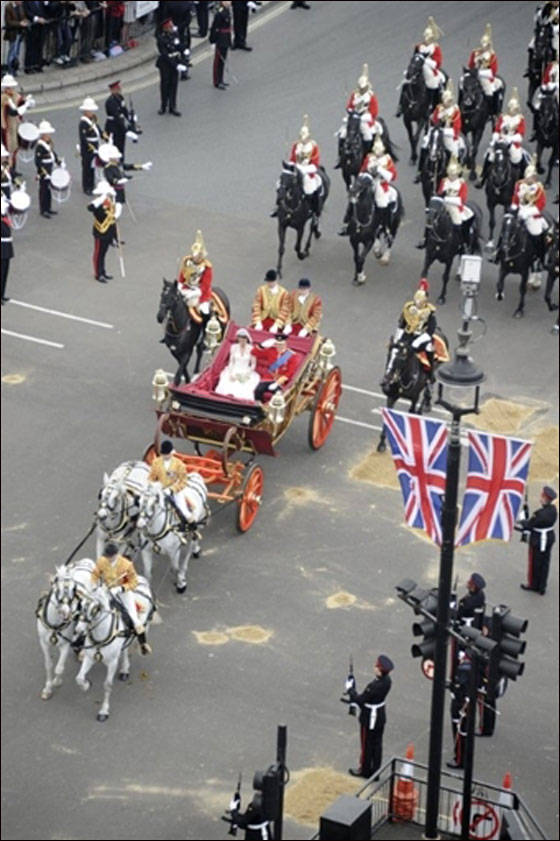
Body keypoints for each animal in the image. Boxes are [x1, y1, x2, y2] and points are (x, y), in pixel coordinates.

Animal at [35, 556, 94, 704]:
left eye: (74, 588)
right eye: (56, 588)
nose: (66, 613)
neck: (55, 626)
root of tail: (87, 561)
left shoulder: (65, 645)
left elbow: (59, 668)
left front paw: (56, 681)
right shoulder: (43, 643)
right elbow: (48, 665)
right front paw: (47, 688)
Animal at [73, 576, 155, 720]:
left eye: (95, 609)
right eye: (80, 605)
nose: (78, 630)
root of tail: (142, 579)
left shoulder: (111, 663)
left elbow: (107, 685)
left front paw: (104, 711)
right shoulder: (89, 658)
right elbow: (79, 677)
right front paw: (86, 685)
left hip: (145, 626)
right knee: (125, 649)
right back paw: (124, 670)